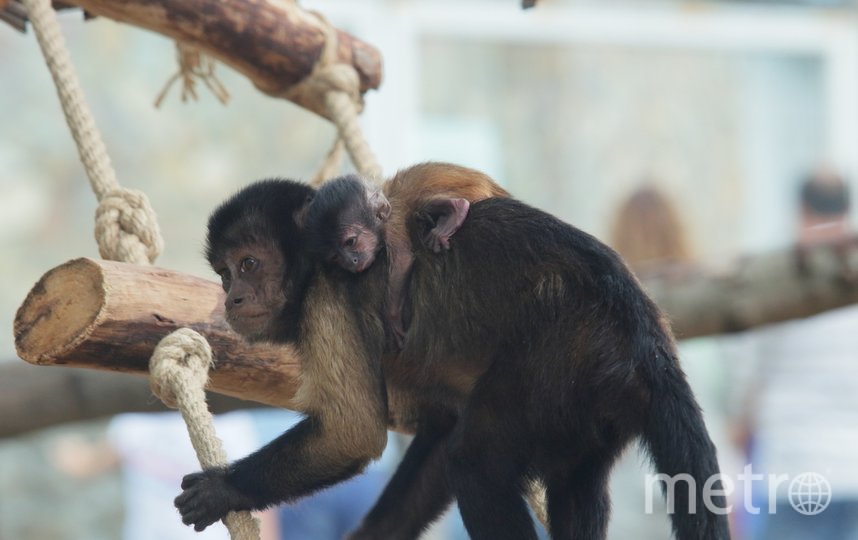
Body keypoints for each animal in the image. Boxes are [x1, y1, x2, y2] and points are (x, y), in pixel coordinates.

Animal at [177, 165, 724, 540]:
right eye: (224, 274)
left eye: (249, 264)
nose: (233, 298)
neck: (311, 269)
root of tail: (641, 327)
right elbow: (441, 435)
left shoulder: (328, 296)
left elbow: (352, 433)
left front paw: (226, 488)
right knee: (569, 475)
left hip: (566, 351)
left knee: (476, 463)